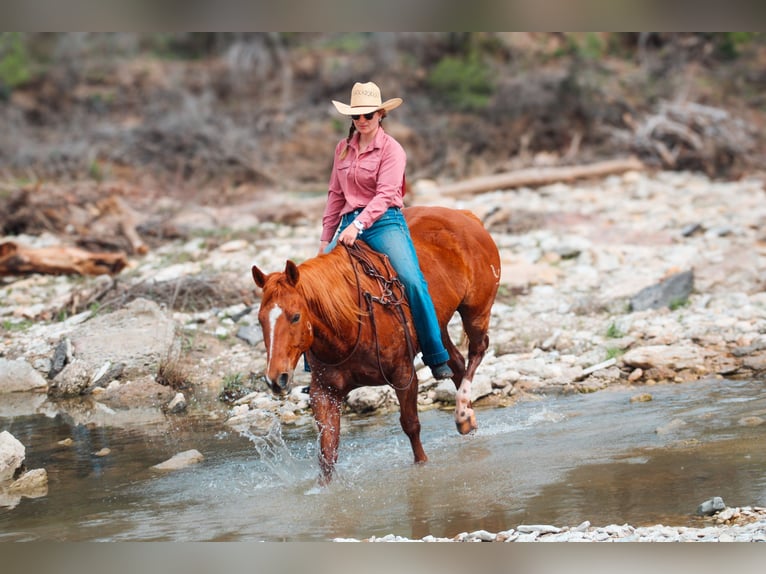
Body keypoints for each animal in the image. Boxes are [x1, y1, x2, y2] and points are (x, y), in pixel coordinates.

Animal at [254, 207, 504, 486]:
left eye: (296, 316)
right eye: (260, 319)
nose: (276, 379)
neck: (349, 324)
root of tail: (466, 216)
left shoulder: (404, 376)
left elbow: (411, 426)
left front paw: (422, 467)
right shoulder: (324, 392)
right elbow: (328, 449)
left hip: (476, 311)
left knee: (477, 351)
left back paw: (461, 412)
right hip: (438, 327)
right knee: (456, 364)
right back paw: (468, 421)